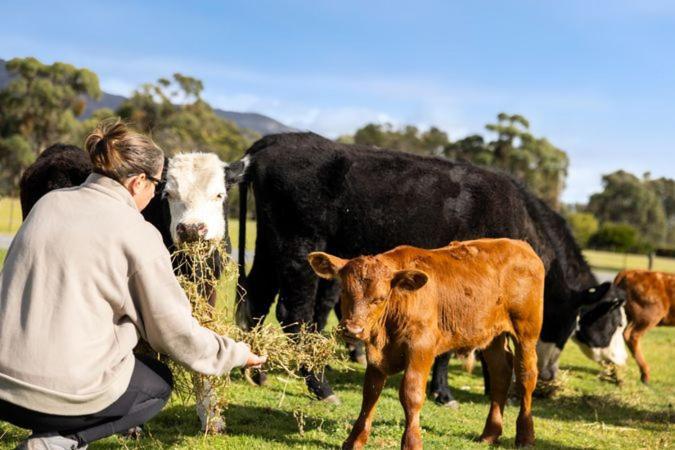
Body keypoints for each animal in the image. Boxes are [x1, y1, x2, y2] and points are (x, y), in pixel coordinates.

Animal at [236, 130, 628, 404]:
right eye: (612, 321)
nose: (620, 362)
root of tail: (275, 141)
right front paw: (446, 393)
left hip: (272, 243)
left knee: (256, 299)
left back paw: (255, 372)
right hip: (300, 244)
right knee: (294, 313)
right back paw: (320, 385)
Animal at [308, 237, 548, 448]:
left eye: (380, 298)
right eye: (345, 291)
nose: (353, 330)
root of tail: (520, 244)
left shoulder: (421, 348)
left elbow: (411, 394)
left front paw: (412, 443)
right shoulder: (376, 355)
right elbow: (370, 394)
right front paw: (354, 441)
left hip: (526, 332)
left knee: (526, 376)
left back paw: (525, 436)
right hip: (492, 336)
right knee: (501, 374)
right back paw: (490, 434)